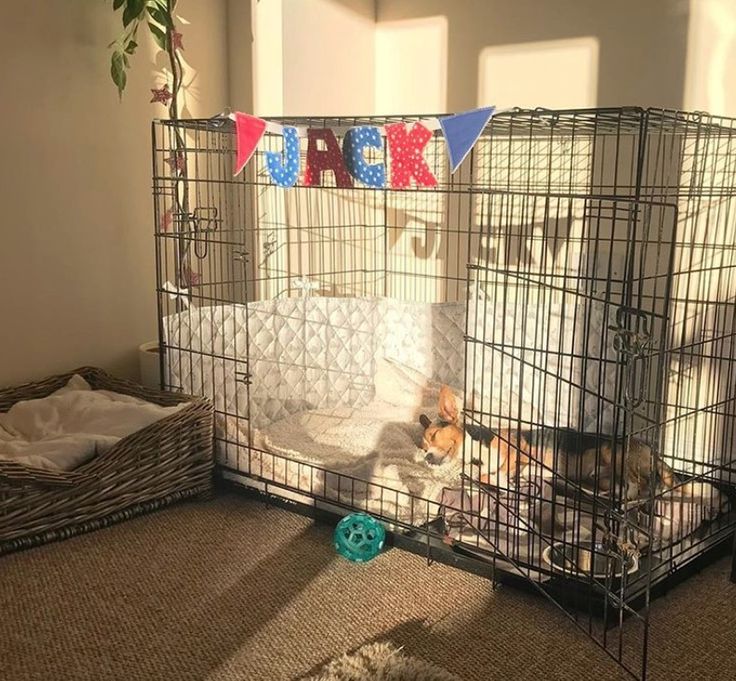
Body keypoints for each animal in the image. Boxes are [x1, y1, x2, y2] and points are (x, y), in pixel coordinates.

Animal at [420, 386, 724, 512]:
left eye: (434, 435)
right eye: (422, 445)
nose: (427, 457)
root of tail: (650, 450)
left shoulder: (520, 449)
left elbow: (505, 467)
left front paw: (503, 479)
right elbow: (489, 477)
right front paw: (497, 483)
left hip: (612, 453)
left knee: (645, 485)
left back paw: (628, 499)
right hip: (603, 476)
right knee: (632, 486)